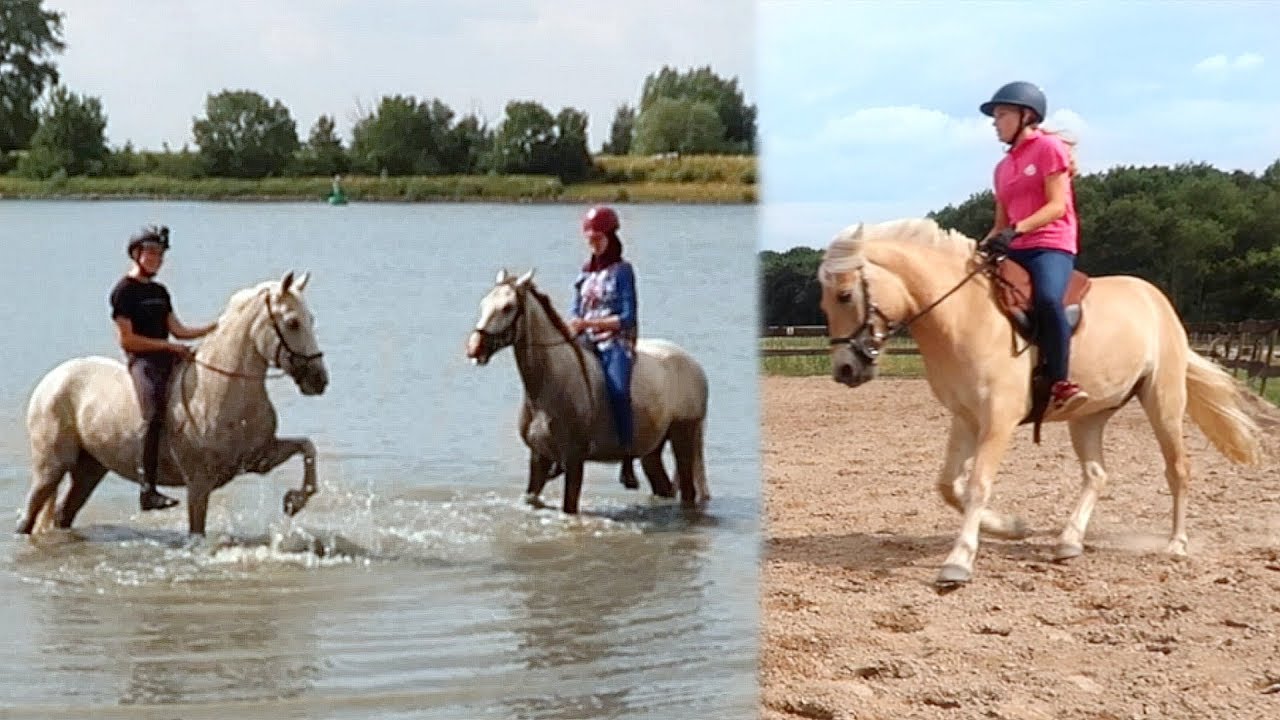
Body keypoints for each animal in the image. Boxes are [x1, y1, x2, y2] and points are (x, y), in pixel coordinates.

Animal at [16, 270, 329, 537]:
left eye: (312, 319)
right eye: (293, 322)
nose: (319, 380)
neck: (221, 388)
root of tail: (52, 379)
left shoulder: (259, 458)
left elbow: (307, 447)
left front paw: (294, 501)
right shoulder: (198, 484)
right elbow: (197, 532)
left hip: (89, 469)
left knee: (62, 515)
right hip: (51, 468)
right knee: (29, 517)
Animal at [465, 268, 710, 514]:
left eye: (507, 307)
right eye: (484, 303)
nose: (474, 348)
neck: (551, 385)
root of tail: (694, 366)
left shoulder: (574, 460)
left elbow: (569, 506)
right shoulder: (539, 457)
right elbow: (532, 497)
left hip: (683, 435)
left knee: (688, 491)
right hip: (652, 450)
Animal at [816, 218, 1264, 587]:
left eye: (844, 295)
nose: (845, 370)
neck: (963, 315)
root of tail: (1157, 300)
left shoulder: (998, 418)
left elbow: (977, 485)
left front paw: (958, 562)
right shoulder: (965, 418)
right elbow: (948, 485)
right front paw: (1012, 526)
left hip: (1163, 402)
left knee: (1178, 470)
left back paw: (1176, 544)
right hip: (1088, 416)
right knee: (1097, 475)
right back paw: (1069, 542)